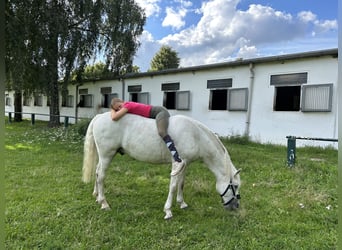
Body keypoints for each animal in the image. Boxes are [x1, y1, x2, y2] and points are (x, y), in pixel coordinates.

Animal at [82, 112, 242, 220]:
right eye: (234, 186)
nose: (235, 207)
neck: (195, 135)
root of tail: (99, 117)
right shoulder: (176, 164)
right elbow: (173, 186)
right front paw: (168, 211)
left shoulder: (185, 164)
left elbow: (181, 184)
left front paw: (182, 203)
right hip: (107, 155)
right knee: (101, 176)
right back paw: (104, 203)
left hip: (103, 156)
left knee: (97, 172)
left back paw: (97, 196)